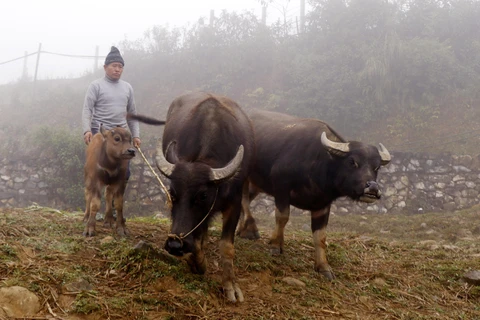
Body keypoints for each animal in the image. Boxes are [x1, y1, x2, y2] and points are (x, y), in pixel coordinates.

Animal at [127, 92, 255, 302]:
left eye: (203, 195)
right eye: (172, 193)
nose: (174, 245)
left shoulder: (234, 202)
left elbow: (226, 246)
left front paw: (230, 285)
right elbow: (196, 239)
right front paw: (198, 262)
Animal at [236, 109, 390, 280]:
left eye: (377, 167)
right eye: (352, 162)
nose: (373, 188)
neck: (318, 164)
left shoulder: (322, 204)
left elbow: (320, 236)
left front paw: (323, 267)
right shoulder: (281, 187)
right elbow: (282, 217)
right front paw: (276, 244)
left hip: (255, 184)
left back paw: (241, 230)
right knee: (243, 200)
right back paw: (251, 229)